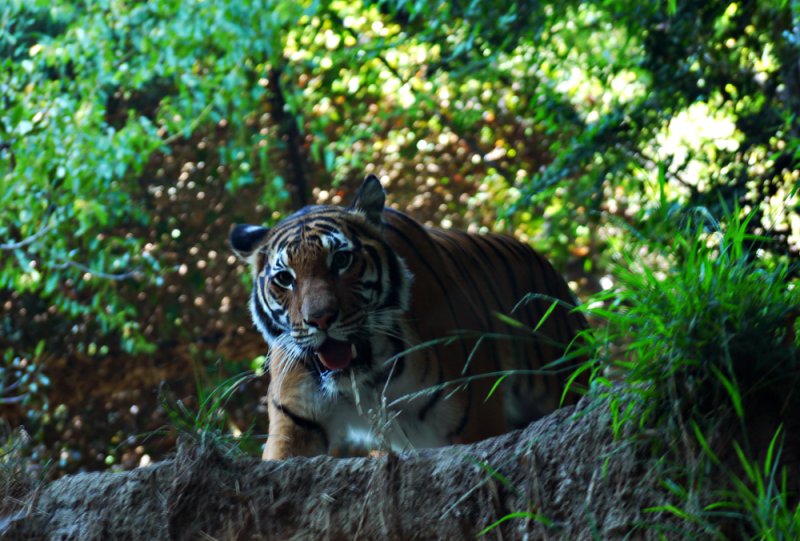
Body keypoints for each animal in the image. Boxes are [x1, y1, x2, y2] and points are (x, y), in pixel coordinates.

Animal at [230, 175, 588, 458]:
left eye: (342, 260)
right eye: (284, 278)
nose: (319, 320)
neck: (364, 379)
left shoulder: (476, 421)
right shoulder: (295, 425)